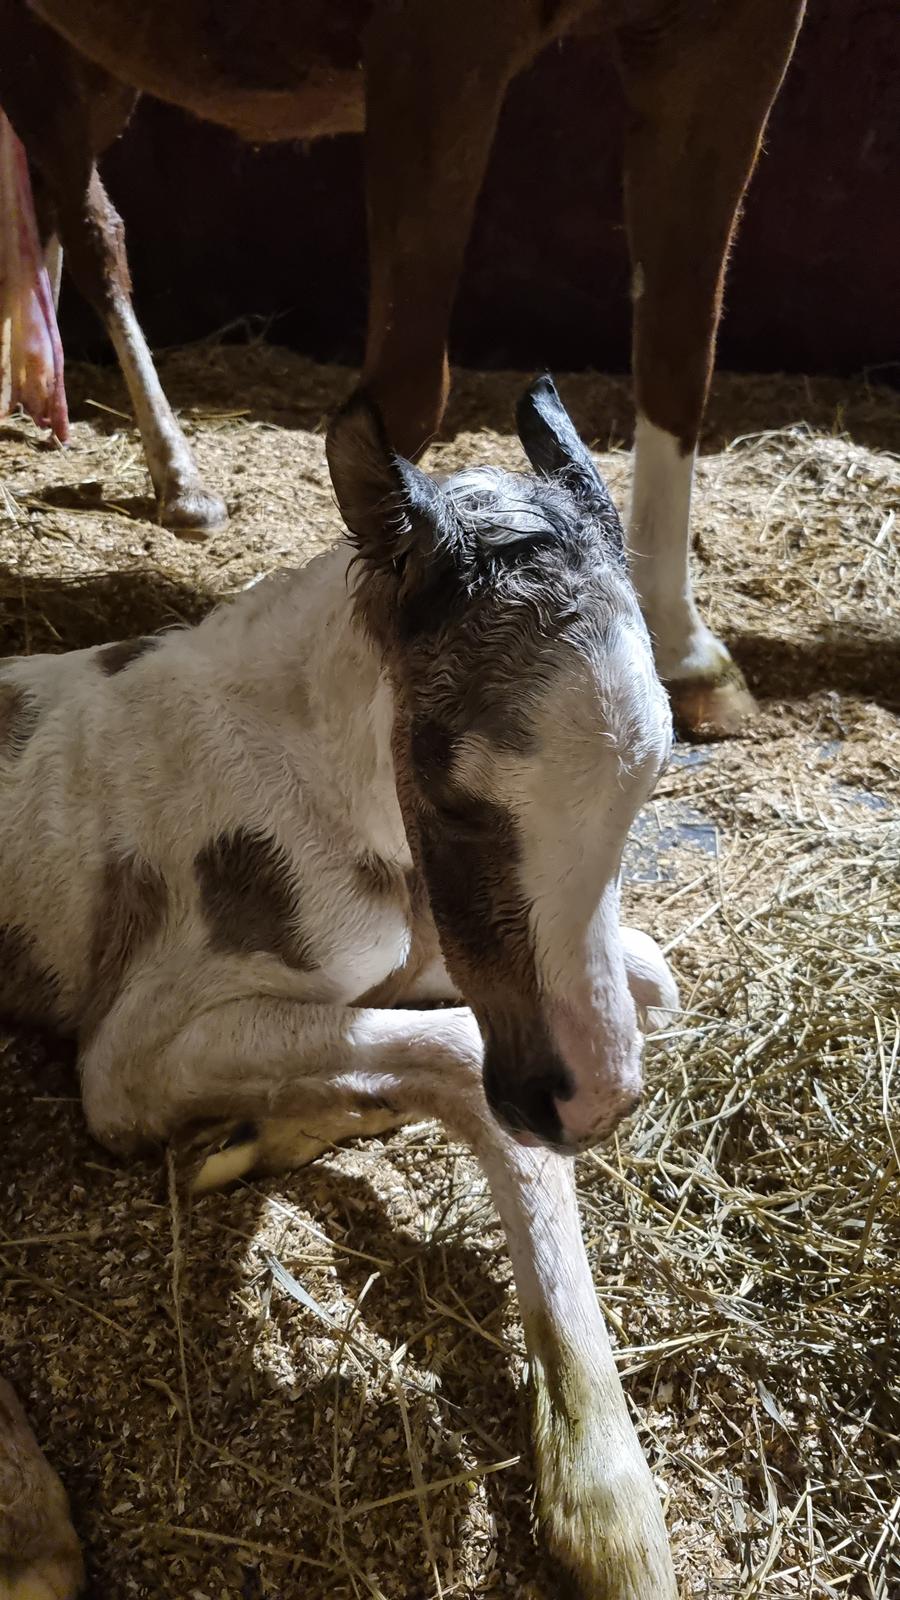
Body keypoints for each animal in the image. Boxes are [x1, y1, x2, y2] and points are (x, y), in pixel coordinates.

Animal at [3, 377, 679, 1600]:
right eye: (454, 793)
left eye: (653, 778)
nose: (596, 1102)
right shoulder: (128, 1059)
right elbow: (463, 1061)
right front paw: (609, 1520)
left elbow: (624, 989)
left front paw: (605, 1498)